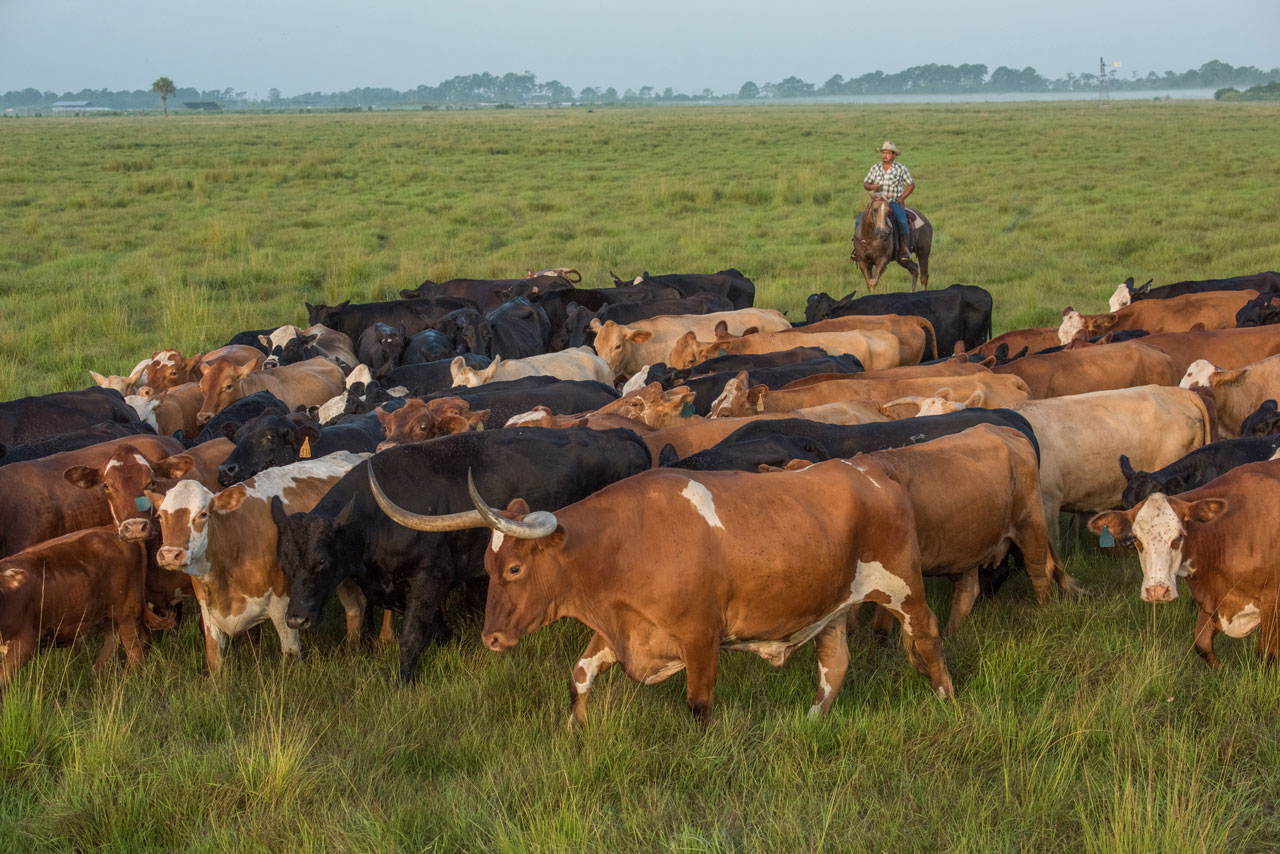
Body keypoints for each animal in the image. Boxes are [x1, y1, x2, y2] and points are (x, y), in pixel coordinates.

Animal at [0, 527, 155, 690]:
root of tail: (114, 531)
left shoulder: (25, 641)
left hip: (128, 608)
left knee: (134, 646)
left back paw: (132, 680)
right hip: (104, 612)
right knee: (114, 638)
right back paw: (97, 674)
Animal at [153, 452, 369, 673]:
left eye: (202, 514)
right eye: (160, 516)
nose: (170, 554)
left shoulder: (284, 607)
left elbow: (291, 655)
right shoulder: (208, 612)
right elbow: (214, 661)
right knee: (354, 608)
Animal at [278, 428, 652, 682]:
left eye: (323, 561)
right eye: (285, 565)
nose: (296, 619)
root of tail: (624, 433)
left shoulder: (429, 577)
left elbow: (411, 635)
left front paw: (405, 683)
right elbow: (432, 627)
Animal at [396, 458, 954, 727]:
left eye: (514, 568)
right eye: (487, 567)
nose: (490, 639)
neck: (625, 543)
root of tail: (872, 470)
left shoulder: (701, 637)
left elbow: (698, 705)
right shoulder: (624, 631)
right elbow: (579, 675)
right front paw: (575, 733)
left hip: (903, 588)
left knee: (928, 638)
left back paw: (947, 700)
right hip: (831, 609)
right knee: (834, 664)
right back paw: (811, 723)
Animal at [1088, 460, 1280, 666]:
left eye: (1179, 537)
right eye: (1137, 539)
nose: (1157, 591)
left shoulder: (1272, 603)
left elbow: (1268, 656)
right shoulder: (1212, 602)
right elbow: (1202, 644)